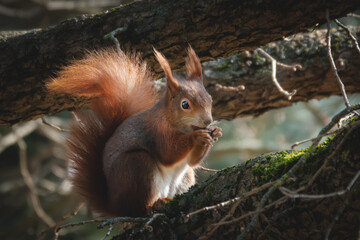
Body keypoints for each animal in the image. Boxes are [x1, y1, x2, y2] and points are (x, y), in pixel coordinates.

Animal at [47, 46, 222, 217]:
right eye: (185, 104)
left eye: (210, 98)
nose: (207, 121)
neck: (176, 123)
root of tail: (114, 207)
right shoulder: (156, 132)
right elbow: (168, 153)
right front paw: (196, 137)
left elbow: (192, 162)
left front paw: (215, 131)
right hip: (137, 166)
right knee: (138, 209)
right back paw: (155, 204)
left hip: (185, 177)